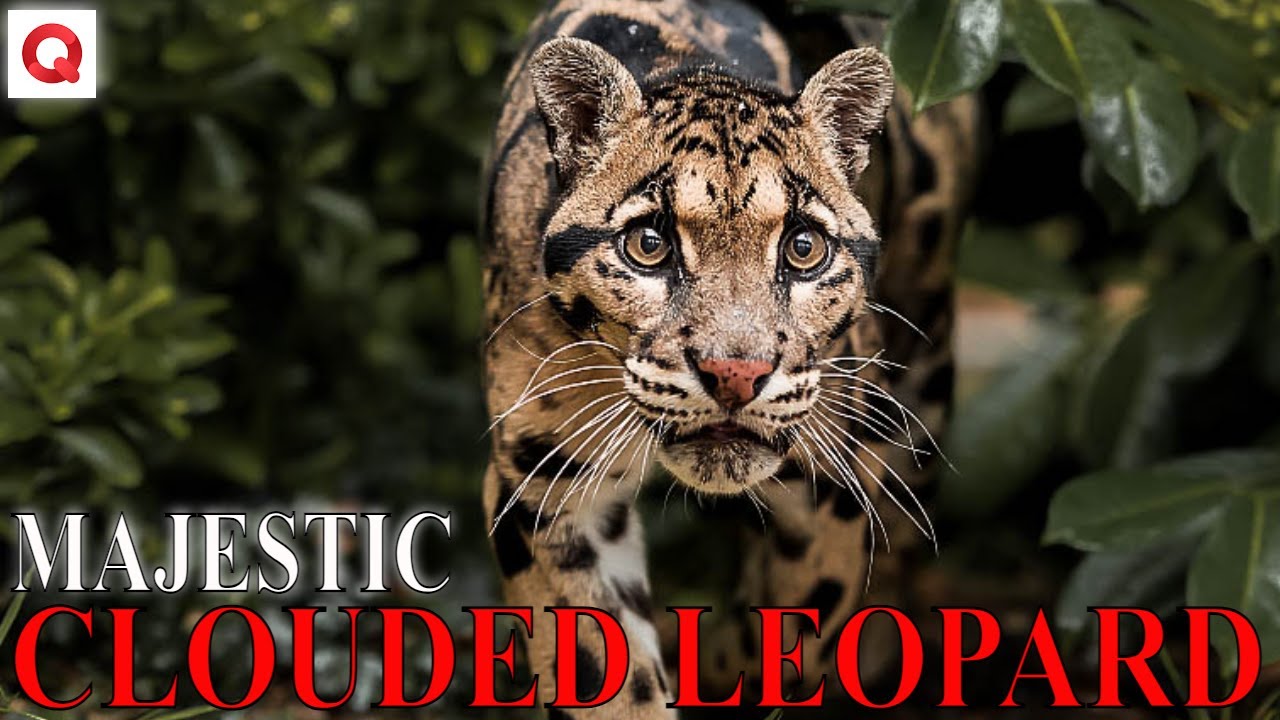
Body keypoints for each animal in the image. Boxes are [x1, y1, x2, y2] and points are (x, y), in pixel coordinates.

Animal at [480, 0, 978, 716]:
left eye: (804, 248)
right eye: (649, 245)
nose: (736, 376)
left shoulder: (833, 487)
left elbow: (793, 640)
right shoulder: (545, 488)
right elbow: (605, 670)